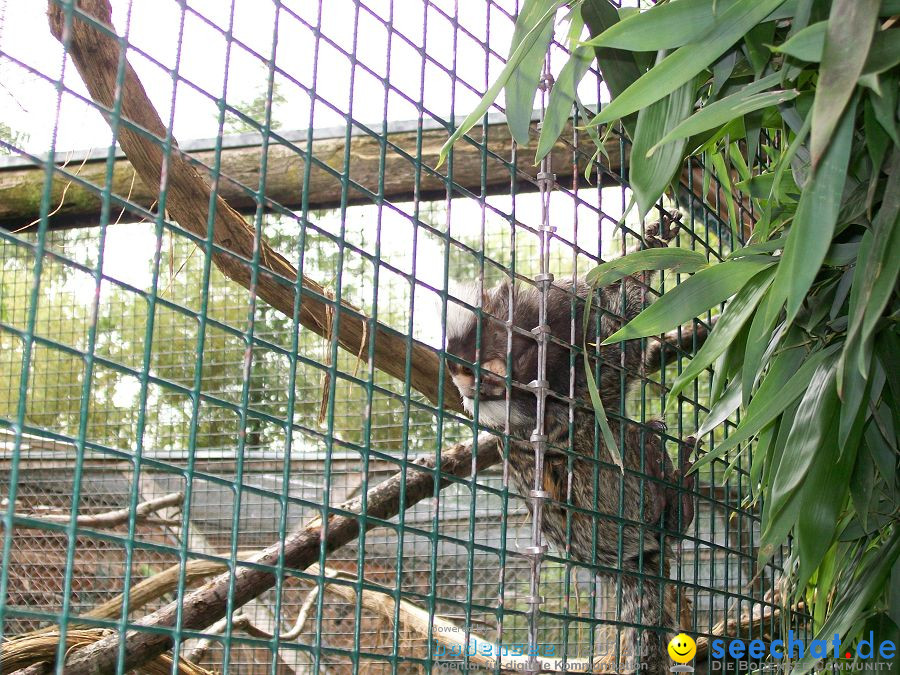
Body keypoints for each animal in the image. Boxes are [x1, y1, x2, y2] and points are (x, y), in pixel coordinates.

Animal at [442, 219, 704, 672]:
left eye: (481, 368)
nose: (479, 388)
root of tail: (615, 566)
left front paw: (642, 249)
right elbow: (620, 353)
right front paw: (640, 272)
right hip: (611, 515)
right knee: (617, 440)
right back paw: (664, 488)